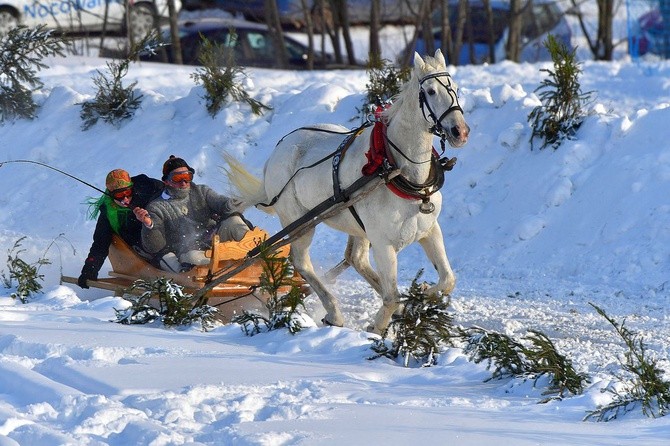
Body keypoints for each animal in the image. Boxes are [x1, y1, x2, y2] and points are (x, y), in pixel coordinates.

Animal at [228, 49, 470, 334]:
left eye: (456, 88)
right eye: (431, 91)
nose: (460, 131)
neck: (399, 171)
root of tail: (278, 149)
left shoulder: (430, 231)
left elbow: (447, 279)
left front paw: (419, 293)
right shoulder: (383, 243)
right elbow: (391, 296)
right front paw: (378, 326)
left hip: (355, 226)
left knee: (355, 259)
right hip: (300, 222)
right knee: (302, 262)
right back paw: (334, 312)